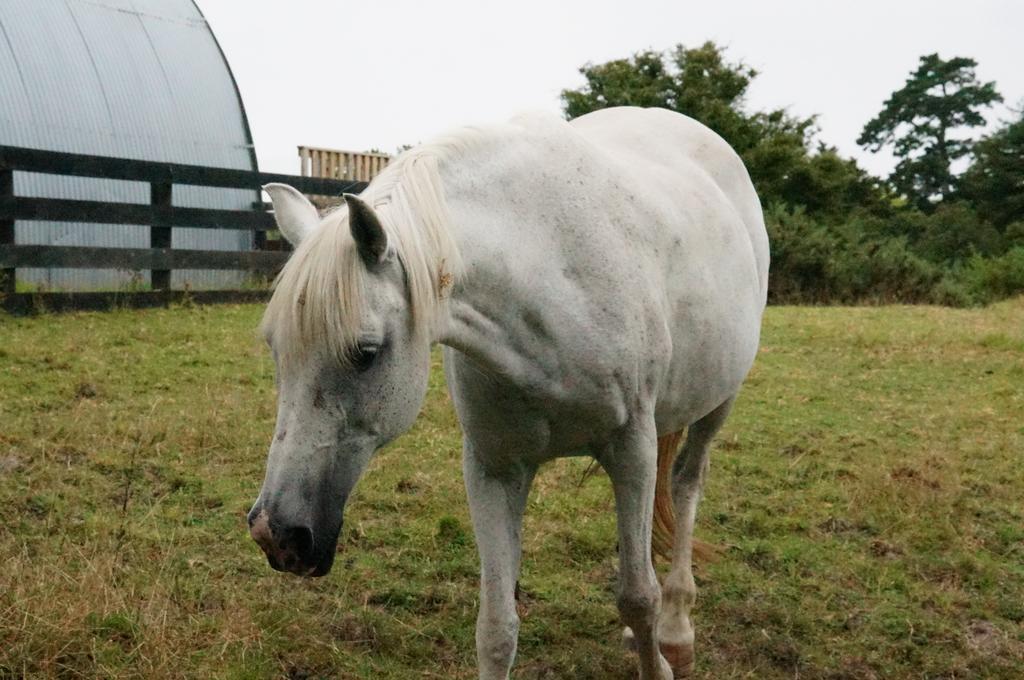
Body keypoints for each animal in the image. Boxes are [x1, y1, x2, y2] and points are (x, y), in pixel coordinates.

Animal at [247, 109, 770, 675]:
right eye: (276, 348)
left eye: (365, 352)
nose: (277, 535)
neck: (547, 281)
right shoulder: (494, 469)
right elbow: (497, 628)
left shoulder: (631, 449)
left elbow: (637, 597)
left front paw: (660, 657)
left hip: (718, 404)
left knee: (686, 484)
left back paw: (676, 629)